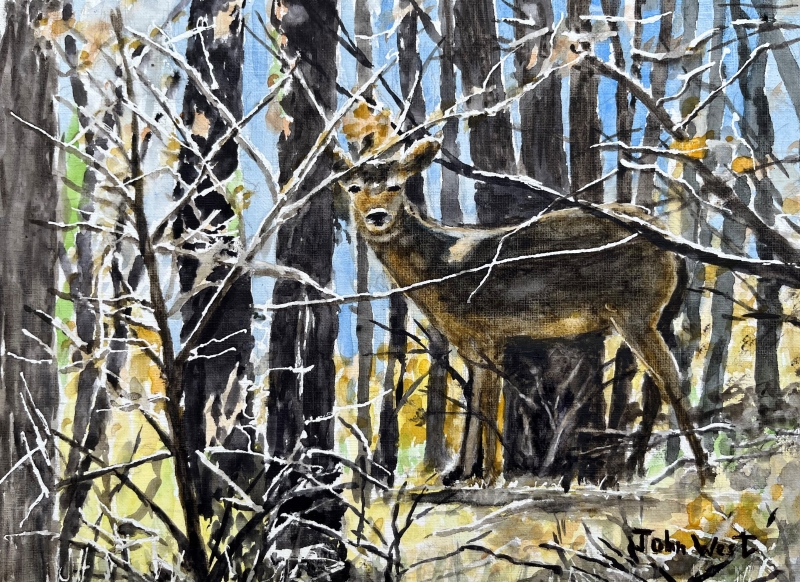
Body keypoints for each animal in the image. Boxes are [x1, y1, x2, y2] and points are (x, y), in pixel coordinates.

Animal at [340, 136, 709, 485]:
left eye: (396, 185)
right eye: (354, 187)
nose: (377, 216)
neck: (443, 266)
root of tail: (674, 246)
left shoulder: (488, 332)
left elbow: (488, 404)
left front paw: (487, 476)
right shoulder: (468, 343)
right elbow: (475, 401)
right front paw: (459, 473)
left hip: (635, 311)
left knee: (670, 378)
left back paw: (701, 469)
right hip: (656, 315)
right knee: (660, 382)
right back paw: (637, 468)